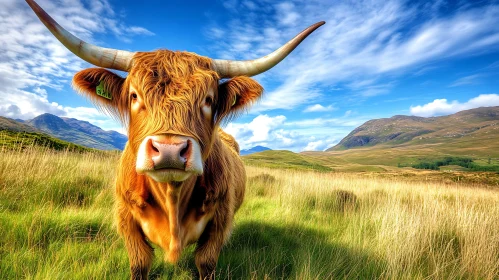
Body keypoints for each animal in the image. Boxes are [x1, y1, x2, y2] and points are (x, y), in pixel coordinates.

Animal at [27, 1, 324, 278]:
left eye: (208, 100)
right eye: (134, 96)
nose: (169, 150)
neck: (172, 198)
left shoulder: (219, 222)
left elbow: (206, 262)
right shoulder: (126, 221)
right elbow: (140, 264)